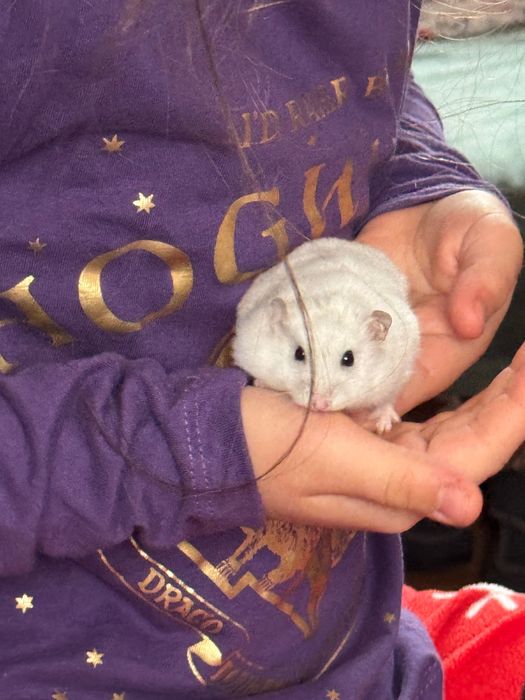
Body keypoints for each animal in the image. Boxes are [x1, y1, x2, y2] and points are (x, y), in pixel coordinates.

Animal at [232, 237, 420, 433]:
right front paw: (261, 383)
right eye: (299, 354)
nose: (319, 404)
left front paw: (384, 427)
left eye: (349, 359)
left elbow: (386, 401)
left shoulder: (396, 375)